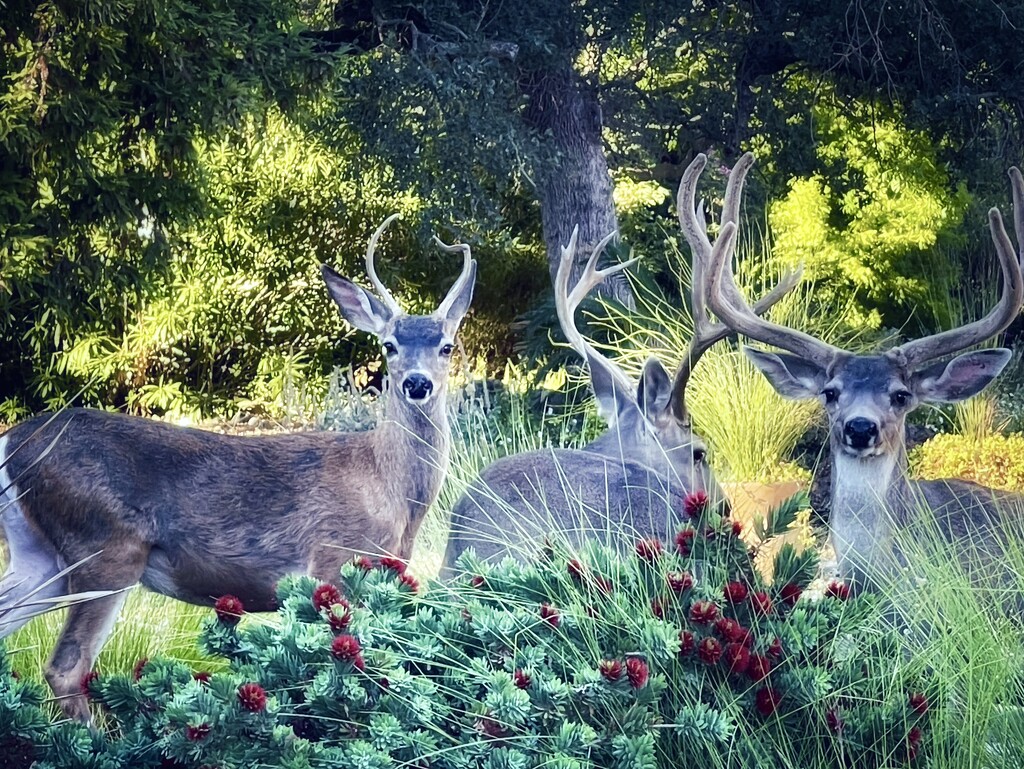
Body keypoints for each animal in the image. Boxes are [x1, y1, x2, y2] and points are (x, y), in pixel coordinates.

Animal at [0, 215, 477, 720]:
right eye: (388, 345)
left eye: (447, 346)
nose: (417, 383)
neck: (391, 491)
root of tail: (11, 442)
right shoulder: (332, 562)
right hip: (105, 548)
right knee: (66, 668)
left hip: (40, 556)